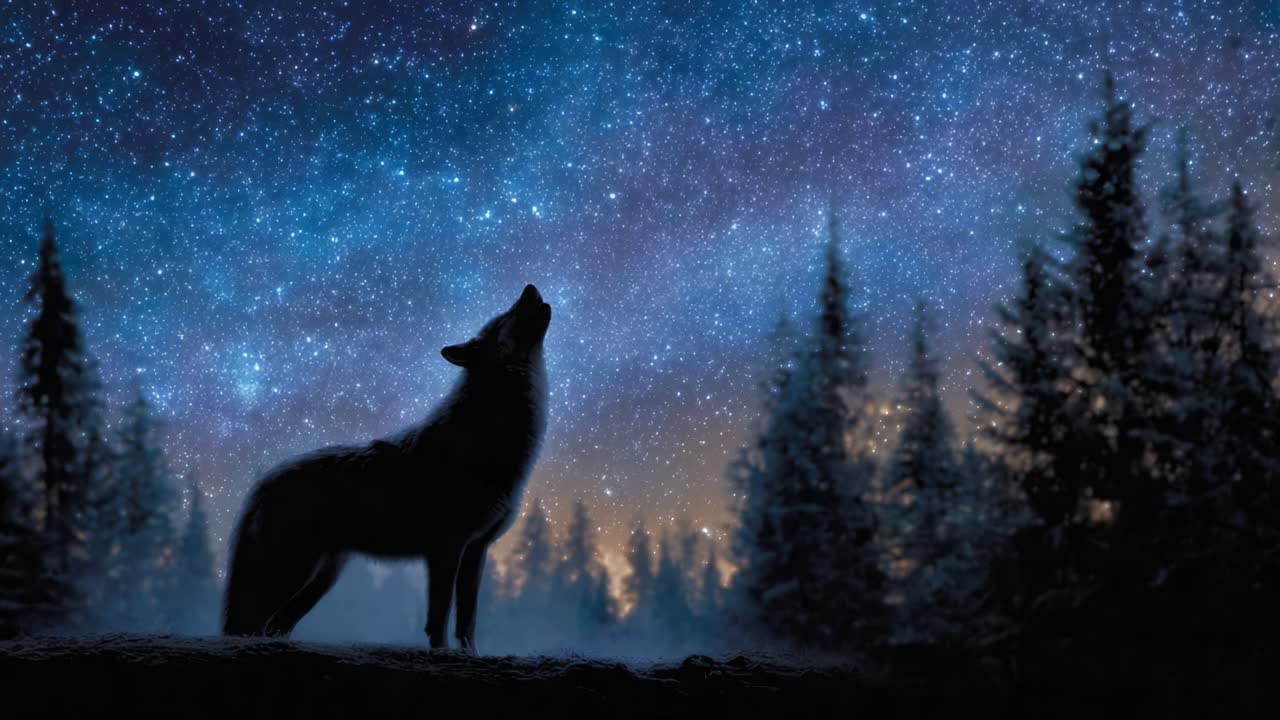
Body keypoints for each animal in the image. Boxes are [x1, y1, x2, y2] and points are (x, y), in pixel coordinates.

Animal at [221, 284, 551, 653]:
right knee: (250, 623)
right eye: (504, 317)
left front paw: (471, 655)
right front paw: (441, 653)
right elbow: (440, 615)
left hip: (320, 579)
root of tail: (262, 483)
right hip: (290, 573)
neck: (489, 433)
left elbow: (468, 618)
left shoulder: (476, 550)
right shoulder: (447, 548)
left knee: (275, 624)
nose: (529, 288)